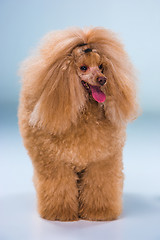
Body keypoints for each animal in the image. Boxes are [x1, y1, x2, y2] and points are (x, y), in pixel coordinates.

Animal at [18, 26, 139, 221]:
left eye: (101, 67)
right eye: (83, 67)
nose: (102, 79)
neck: (84, 110)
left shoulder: (101, 160)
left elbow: (100, 185)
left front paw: (99, 212)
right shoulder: (56, 162)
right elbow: (59, 186)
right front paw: (60, 213)